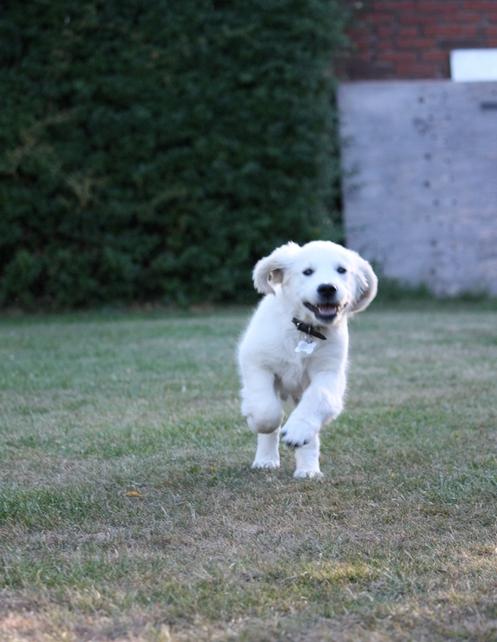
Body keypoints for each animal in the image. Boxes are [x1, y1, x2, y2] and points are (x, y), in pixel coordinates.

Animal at [236, 239, 376, 476]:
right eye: (307, 272)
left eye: (342, 270)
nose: (328, 288)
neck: (306, 331)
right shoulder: (257, 361)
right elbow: (267, 411)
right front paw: (256, 422)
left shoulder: (329, 373)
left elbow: (318, 398)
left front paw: (297, 431)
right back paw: (266, 460)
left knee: (311, 434)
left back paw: (308, 470)